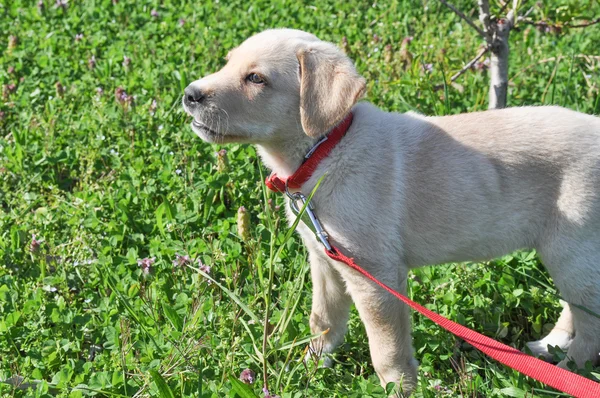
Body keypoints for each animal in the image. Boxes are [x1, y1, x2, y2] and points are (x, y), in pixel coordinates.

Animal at [182, 29, 600, 394]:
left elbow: (386, 347)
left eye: (256, 78)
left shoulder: (375, 275)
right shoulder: (325, 261)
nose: (189, 95)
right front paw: (309, 369)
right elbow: (323, 322)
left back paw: (569, 371)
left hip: (572, 250)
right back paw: (550, 348)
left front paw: (398, 388)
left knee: (591, 325)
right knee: (575, 308)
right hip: (567, 255)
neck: (323, 150)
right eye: (228, 63)